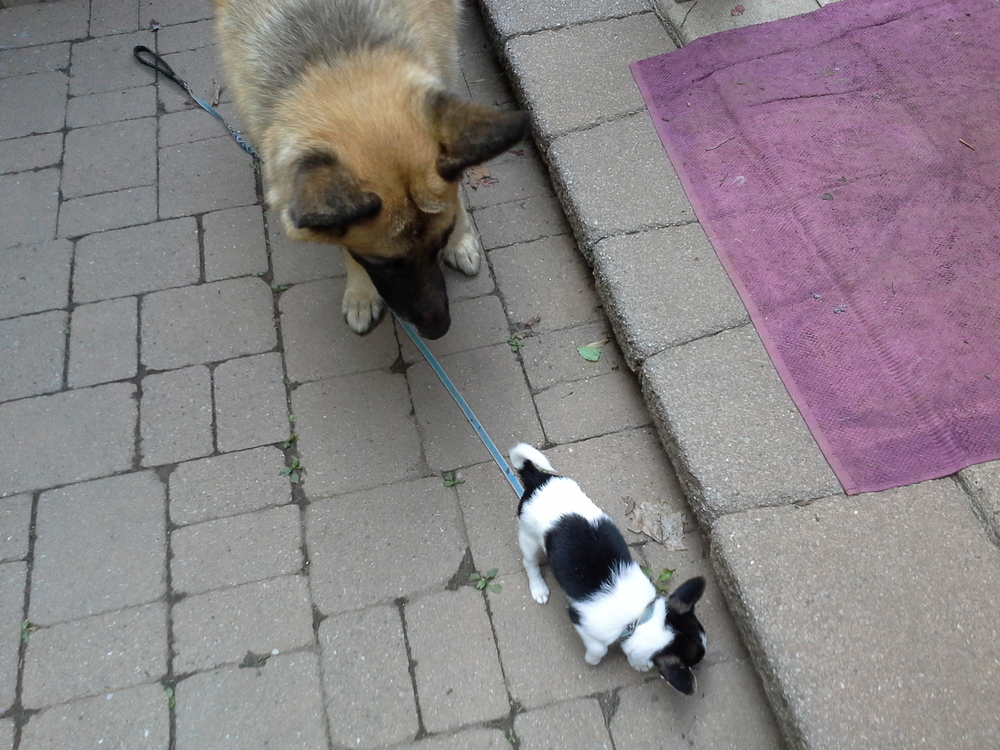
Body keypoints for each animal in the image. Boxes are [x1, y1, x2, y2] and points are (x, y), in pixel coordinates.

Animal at [215, 0, 530, 339]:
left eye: (441, 241)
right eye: (386, 264)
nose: (438, 330)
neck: (336, 59)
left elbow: (455, 190)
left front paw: (460, 239)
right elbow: (341, 242)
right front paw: (361, 294)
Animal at [510, 443, 707, 695]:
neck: (638, 617)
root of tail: (536, 479)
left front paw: (637, 663)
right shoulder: (580, 620)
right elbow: (599, 649)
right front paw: (593, 659)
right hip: (528, 537)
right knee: (529, 563)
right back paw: (539, 589)